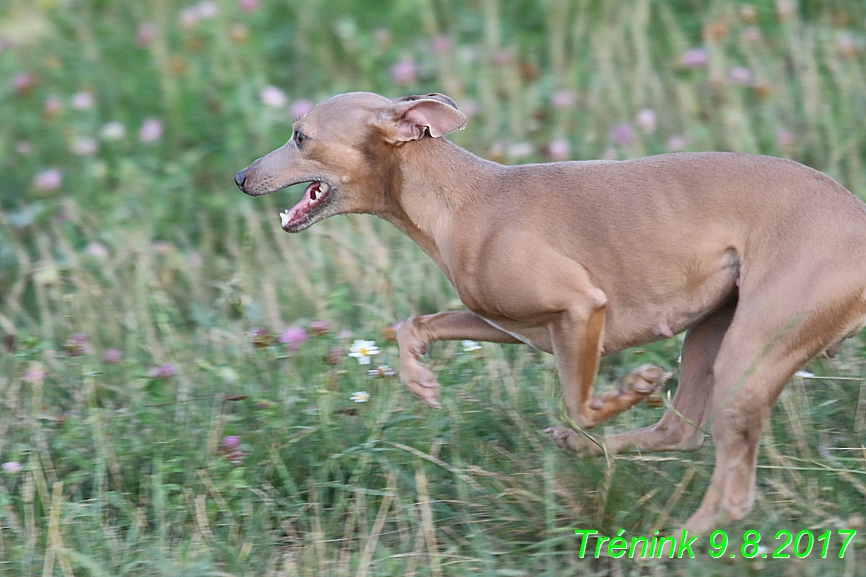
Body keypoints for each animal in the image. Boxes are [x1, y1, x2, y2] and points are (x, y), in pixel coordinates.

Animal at [233, 91, 864, 532]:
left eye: (300, 136)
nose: (240, 175)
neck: (462, 198)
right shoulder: (514, 324)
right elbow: (415, 325)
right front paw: (419, 379)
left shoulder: (582, 307)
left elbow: (580, 403)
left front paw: (627, 389)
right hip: (715, 330)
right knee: (678, 431)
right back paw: (591, 453)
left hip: (752, 345)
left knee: (729, 490)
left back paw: (664, 541)